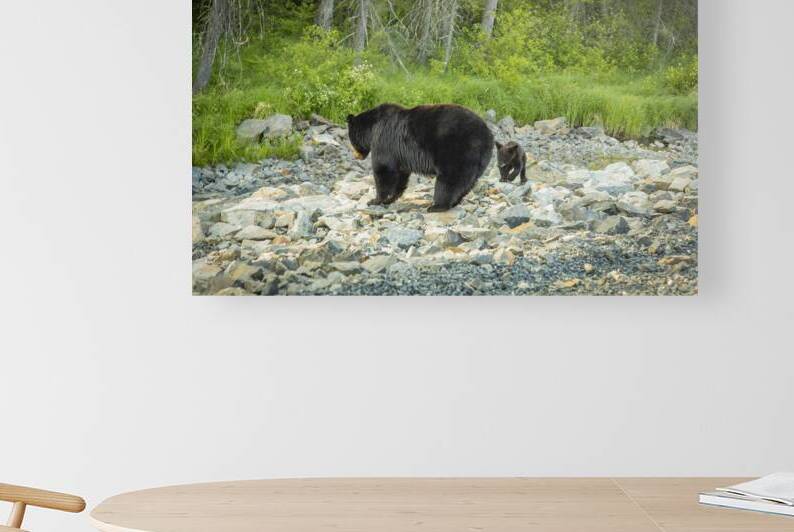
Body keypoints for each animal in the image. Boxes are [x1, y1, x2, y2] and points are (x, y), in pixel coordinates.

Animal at [346, 103, 494, 212]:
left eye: (351, 139)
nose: (355, 155)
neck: (372, 128)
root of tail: (487, 134)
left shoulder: (384, 140)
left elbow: (384, 169)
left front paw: (375, 200)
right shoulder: (399, 154)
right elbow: (400, 175)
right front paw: (391, 198)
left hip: (456, 149)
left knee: (450, 179)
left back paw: (437, 206)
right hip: (479, 159)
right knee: (467, 182)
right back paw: (454, 202)